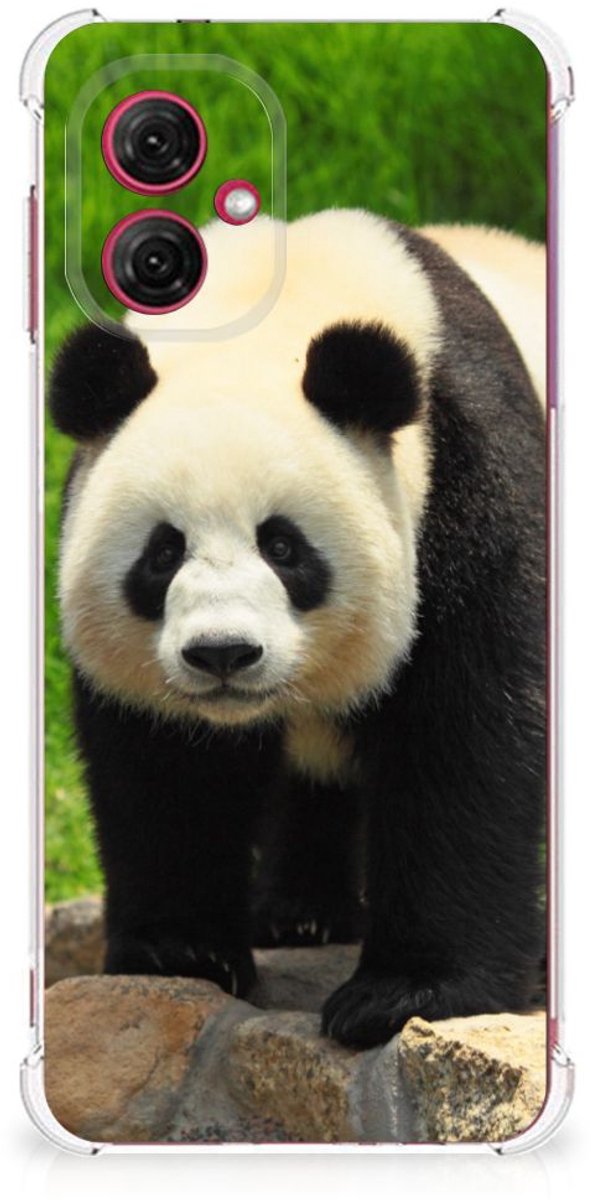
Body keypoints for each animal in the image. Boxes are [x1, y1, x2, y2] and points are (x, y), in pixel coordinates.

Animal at [49, 209, 546, 1049]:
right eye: (162, 552)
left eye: (282, 547)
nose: (222, 654)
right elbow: (164, 766)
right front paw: (182, 953)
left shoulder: (469, 479)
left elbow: (467, 733)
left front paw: (404, 993)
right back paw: (300, 914)